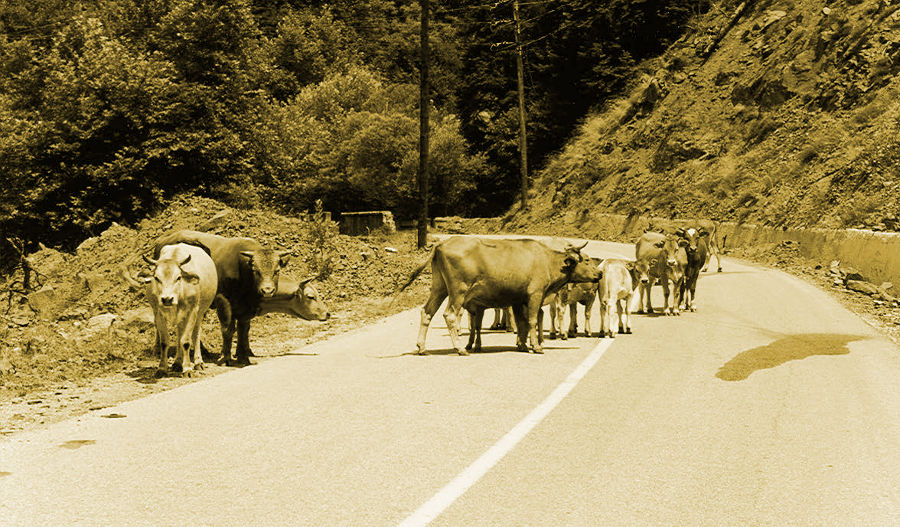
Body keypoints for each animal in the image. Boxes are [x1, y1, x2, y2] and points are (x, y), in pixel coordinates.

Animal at [141, 245, 218, 378]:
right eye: (156, 278)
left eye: (178, 277)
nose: (167, 299)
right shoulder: (158, 313)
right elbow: (164, 342)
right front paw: (162, 368)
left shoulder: (192, 310)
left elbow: (186, 341)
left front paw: (187, 368)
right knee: (179, 333)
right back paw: (177, 362)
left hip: (200, 311)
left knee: (196, 334)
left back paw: (198, 362)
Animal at [400, 238, 596, 354]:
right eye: (586, 260)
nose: (599, 274)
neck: (547, 260)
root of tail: (440, 245)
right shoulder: (535, 295)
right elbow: (532, 320)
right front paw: (536, 346)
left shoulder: (518, 300)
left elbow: (522, 323)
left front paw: (523, 345)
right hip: (457, 291)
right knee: (450, 315)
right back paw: (460, 347)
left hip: (439, 288)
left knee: (427, 312)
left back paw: (422, 347)